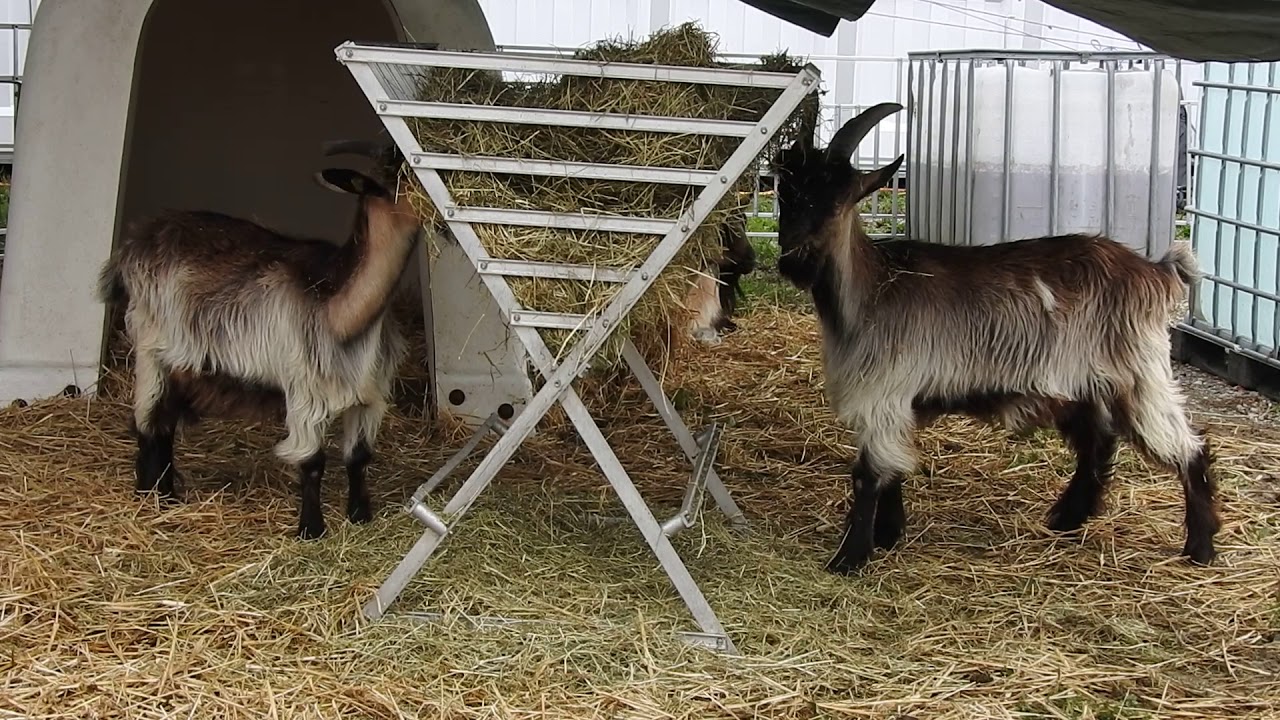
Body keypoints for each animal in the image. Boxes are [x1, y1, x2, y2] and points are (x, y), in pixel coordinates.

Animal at [96, 139, 422, 540]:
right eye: (392, 179)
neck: (340, 308)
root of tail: (137, 240)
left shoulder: (370, 395)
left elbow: (358, 458)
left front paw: (360, 515)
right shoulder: (304, 393)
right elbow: (312, 462)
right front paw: (311, 530)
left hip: (183, 364)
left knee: (166, 422)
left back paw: (167, 495)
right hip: (150, 349)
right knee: (148, 421)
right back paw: (148, 494)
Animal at [771, 102, 1219, 574]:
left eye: (837, 200)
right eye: (787, 196)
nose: (794, 261)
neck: (872, 288)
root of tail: (1156, 272)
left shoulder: (883, 394)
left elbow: (868, 476)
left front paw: (850, 557)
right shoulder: (891, 402)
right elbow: (891, 470)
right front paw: (889, 536)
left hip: (1140, 375)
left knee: (1188, 447)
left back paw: (1201, 548)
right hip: (1085, 383)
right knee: (1097, 441)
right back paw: (1068, 518)